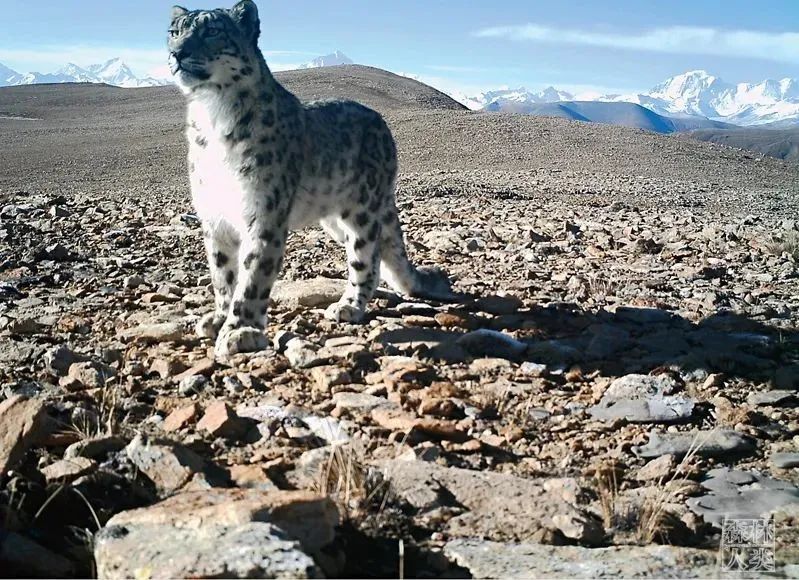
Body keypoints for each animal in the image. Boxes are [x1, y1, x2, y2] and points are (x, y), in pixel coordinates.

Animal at [169, 0, 454, 356]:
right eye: (174, 32)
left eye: (212, 31)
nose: (177, 52)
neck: (211, 114)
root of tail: (382, 125)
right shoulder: (214, 216)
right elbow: (223, 274)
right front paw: (220, 317)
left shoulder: (263, 212)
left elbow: (252, 275)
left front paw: (240, 330)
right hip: (334, 219)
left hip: (362, 210)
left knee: (367, 259)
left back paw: (349, 305)